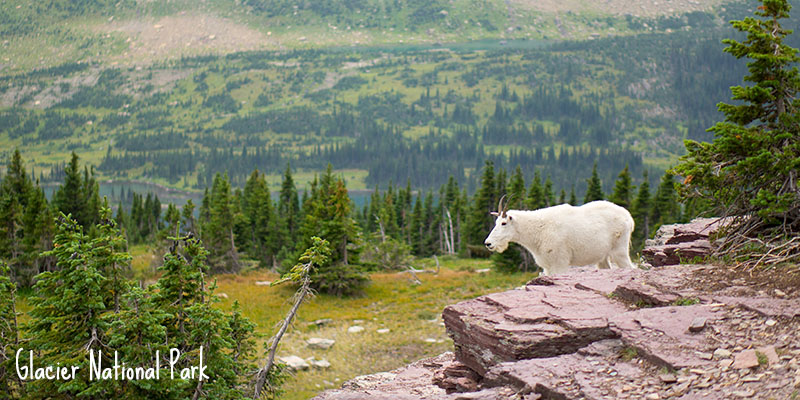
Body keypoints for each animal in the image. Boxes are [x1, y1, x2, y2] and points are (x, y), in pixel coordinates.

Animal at [482, 195, 636, 276]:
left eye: (503, 223)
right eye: (496, 222)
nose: (488, 243)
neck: (537, 229)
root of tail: (628, 217)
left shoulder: (560, 263)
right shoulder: (547, 266)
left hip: (619, 251)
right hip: (602, 257)